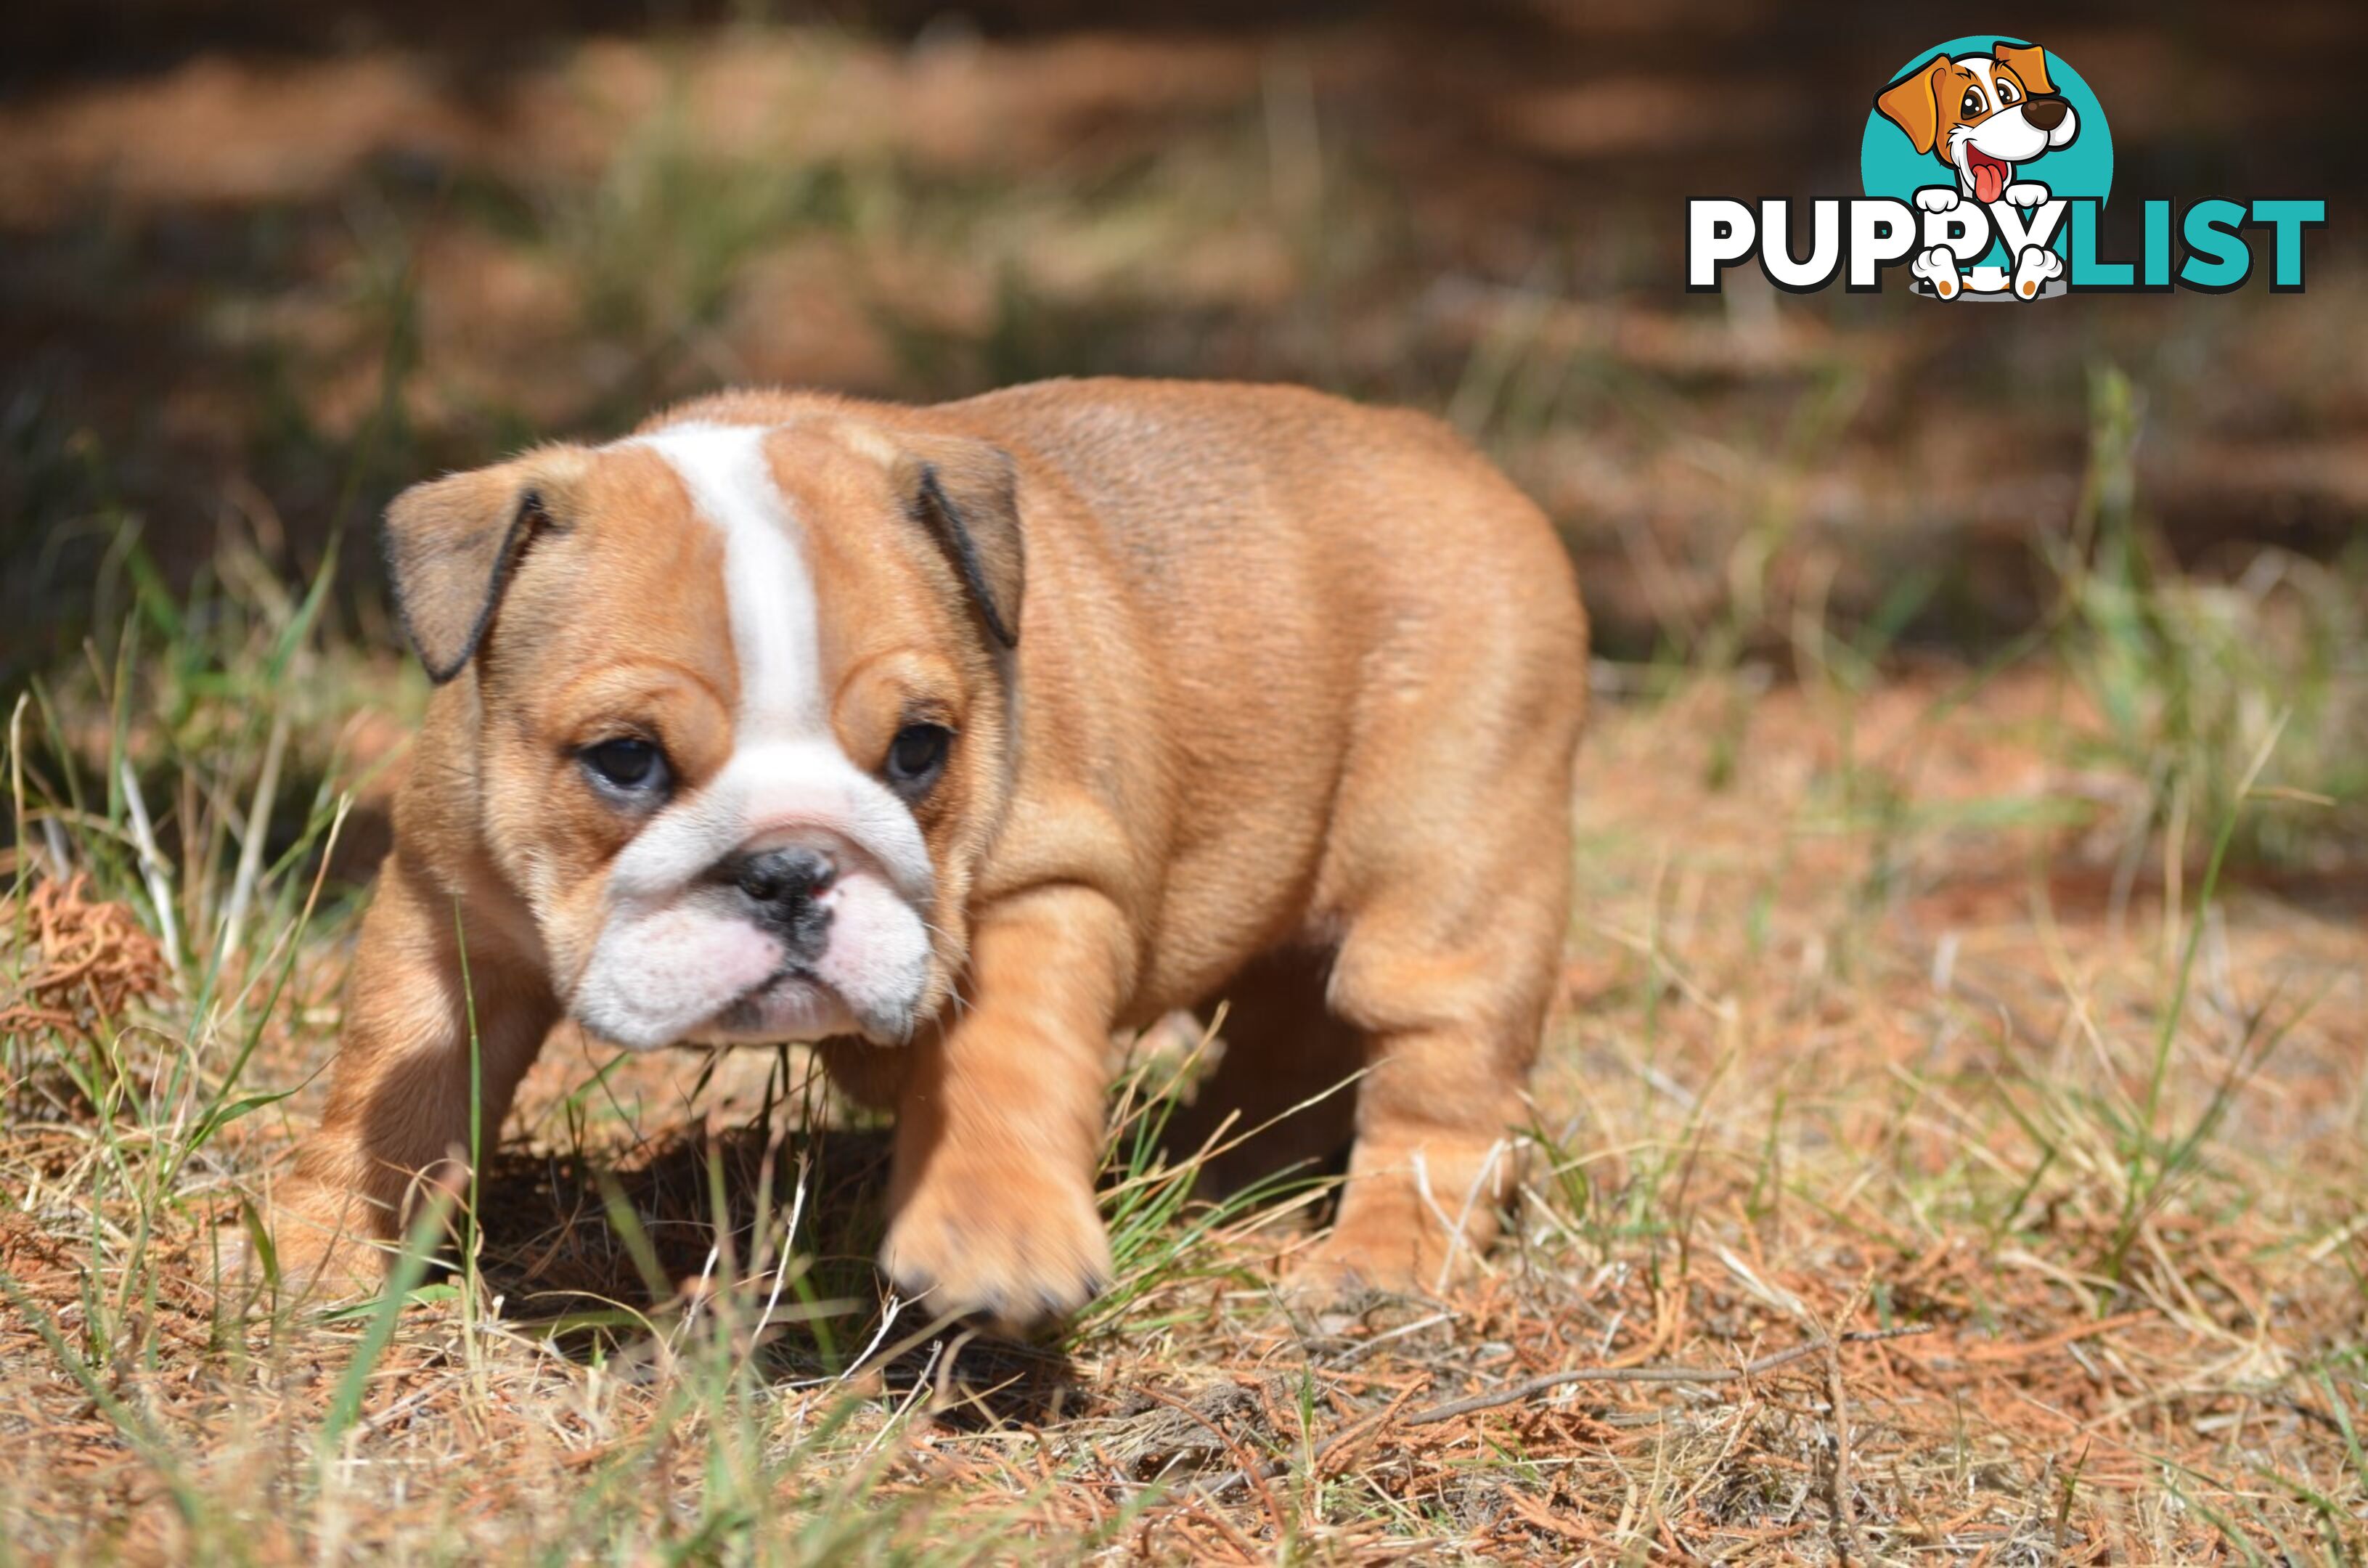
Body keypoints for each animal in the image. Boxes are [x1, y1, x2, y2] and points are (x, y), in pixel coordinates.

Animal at [269, 379, 1582, 1326]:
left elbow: (1005, 1061)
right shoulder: (442, 903)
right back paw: (1215, 1175)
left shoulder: (1048, 890)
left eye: (919, 748)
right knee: (1285, 1036)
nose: (789, 867)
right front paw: (324, 1245)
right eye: (625, 760)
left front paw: (996, 1236)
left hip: (1447, 874)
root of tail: (1457, 455)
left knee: (1435, 1081)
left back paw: (1381, 1262)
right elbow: (398, 1080)